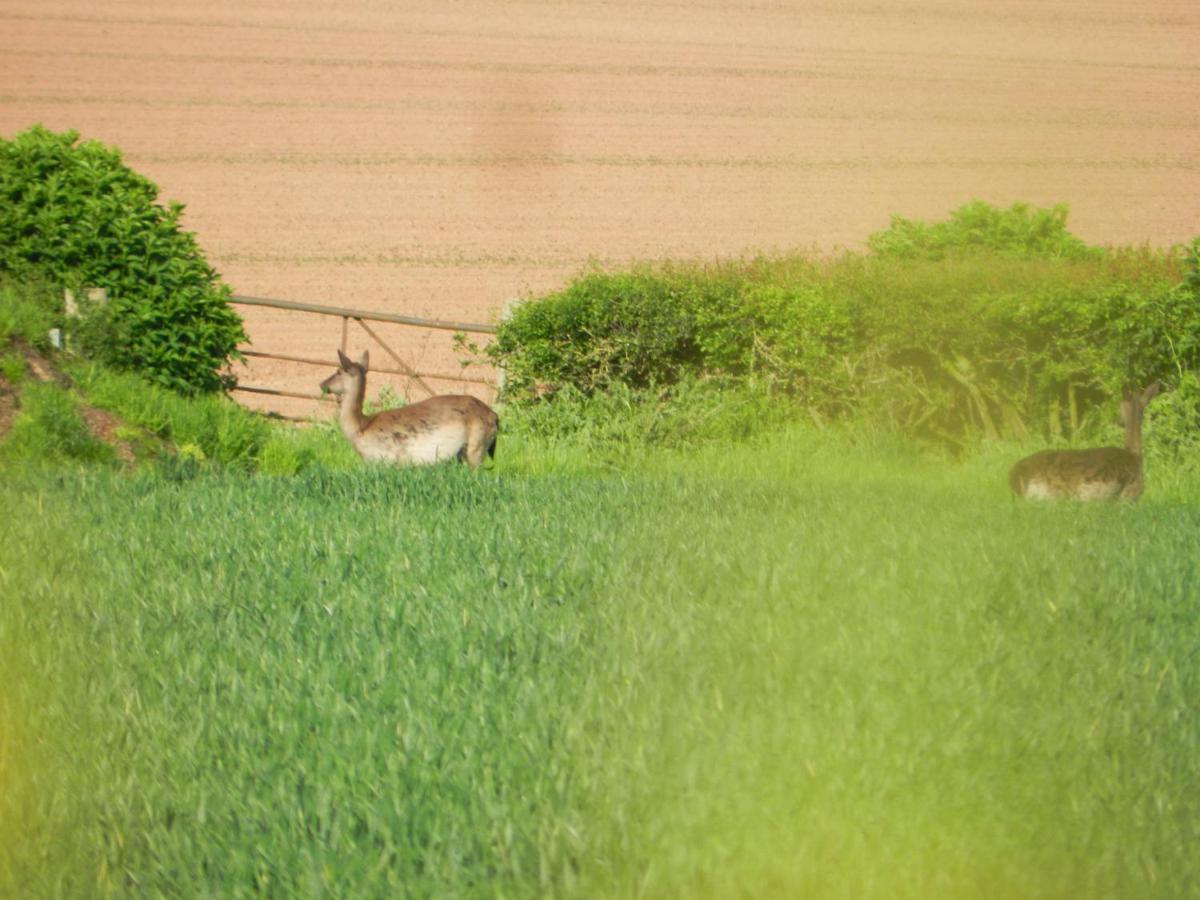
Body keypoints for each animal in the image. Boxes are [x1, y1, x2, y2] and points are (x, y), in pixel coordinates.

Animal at [319, 348, 496, 468]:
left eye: (338, 371)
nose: (322, 384)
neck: (359, 428)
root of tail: (495, 416)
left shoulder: (388, 458)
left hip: (477, 445)